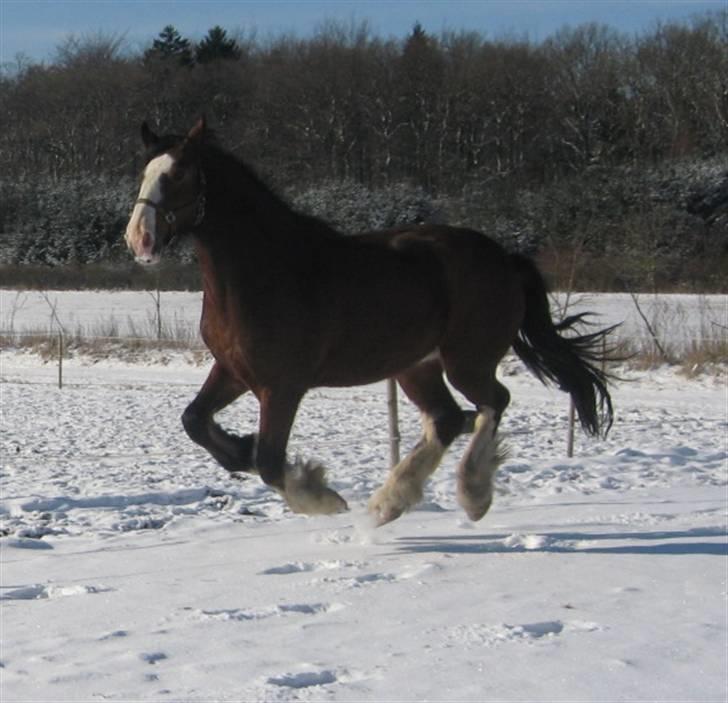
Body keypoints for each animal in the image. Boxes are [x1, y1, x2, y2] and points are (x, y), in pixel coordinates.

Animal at [125, 121, 616, 524]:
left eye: (179, 174)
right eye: (144, 173)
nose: (139, 239)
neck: (266, 269)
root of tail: (506, 259)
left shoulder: (281, 386)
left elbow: (270, 461)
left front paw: (319, 495)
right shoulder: (232, 370)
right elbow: (195, 421)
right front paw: (243, 448)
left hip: (467, 361)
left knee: (492, 403)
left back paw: (471, 495)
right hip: (417, 366)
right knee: (448, 418)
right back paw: (389, 504)